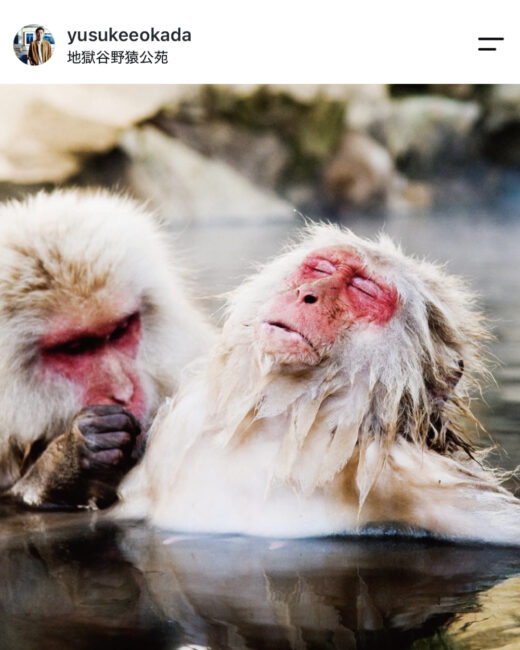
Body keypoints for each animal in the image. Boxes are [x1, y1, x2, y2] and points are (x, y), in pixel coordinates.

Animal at [117, 224, 520, 545]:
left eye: (364, 291)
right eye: (321, 268)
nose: (306, 294)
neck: (282, 428)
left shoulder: (422, 478)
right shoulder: (179, 427)